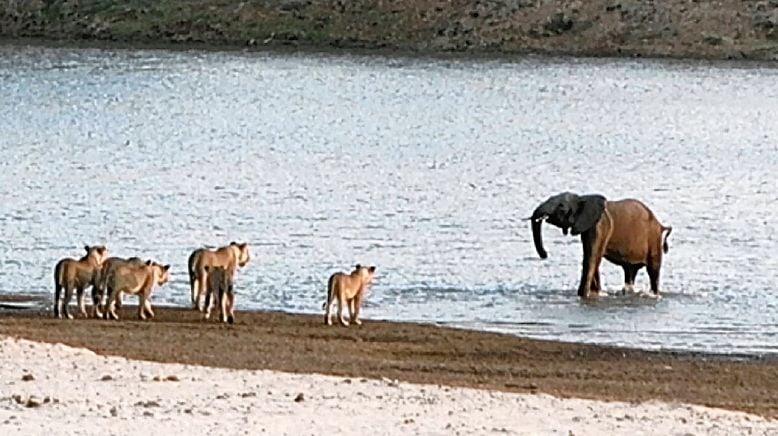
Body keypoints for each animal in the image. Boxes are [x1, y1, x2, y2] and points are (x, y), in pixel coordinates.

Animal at [528, 192, 672, 298]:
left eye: (561, 207)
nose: (545, 254)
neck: (583, 198)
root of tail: (661, 225)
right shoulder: (588, 227)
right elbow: (593, 258)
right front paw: (595, 293)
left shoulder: (600, 226)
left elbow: (591, 258)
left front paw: (583, 295)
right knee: (630, 270)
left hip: (654, 240)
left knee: (653, 271)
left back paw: (654, 294)